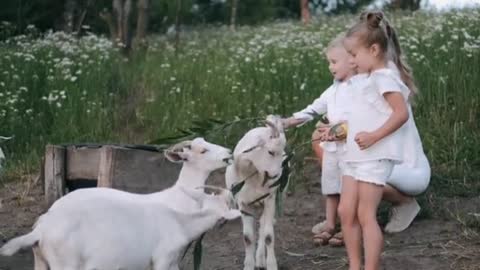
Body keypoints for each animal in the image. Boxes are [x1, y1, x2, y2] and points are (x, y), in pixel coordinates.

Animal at [224, 115, 286, 270]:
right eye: (270, 152)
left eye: (282, 152)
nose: (277, 176)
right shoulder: (243, 204)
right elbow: (248, 238)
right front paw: (248, 265)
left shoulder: (269, 199)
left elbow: (269, 236)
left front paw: (272, 265)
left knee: (263, 227)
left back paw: (261, 260)